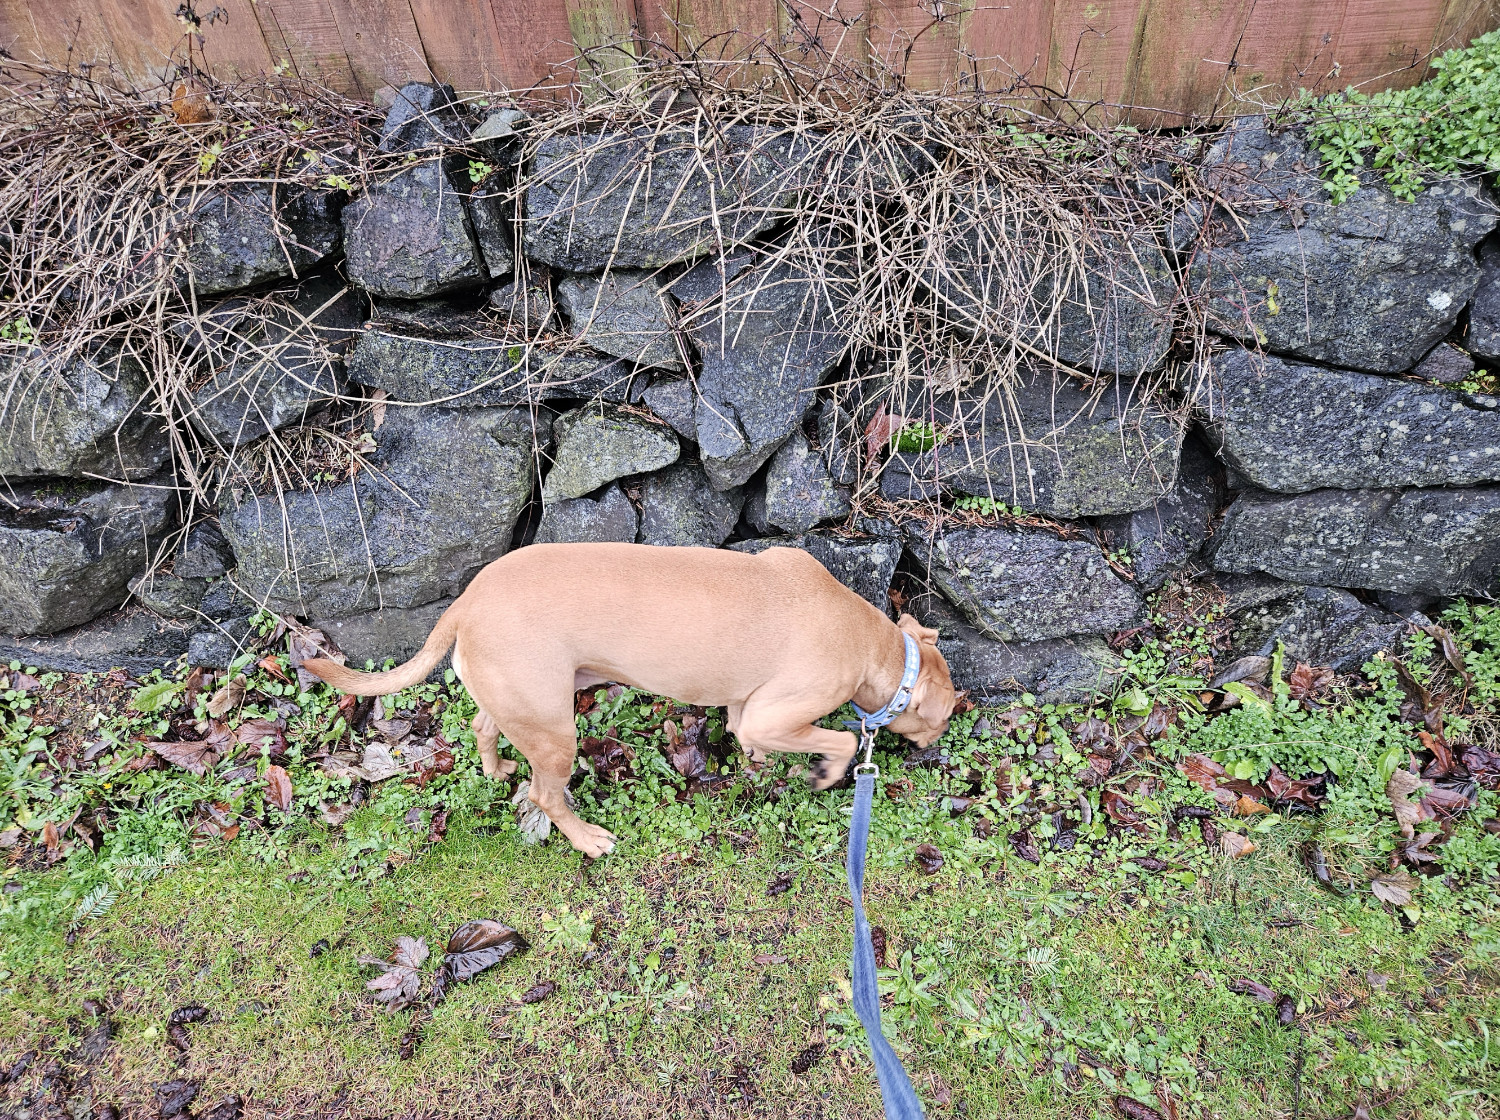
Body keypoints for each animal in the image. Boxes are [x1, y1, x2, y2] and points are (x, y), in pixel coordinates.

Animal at [303, 545, 954, 857]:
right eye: (945, 713)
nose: (939, 742)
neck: (873, 643)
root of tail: (466, 601)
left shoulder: (749, 712)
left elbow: (749, 738)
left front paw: (762, 766)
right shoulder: (783, 711)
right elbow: (840, 738)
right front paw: (826, 771)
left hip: (527, 699)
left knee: (488, 731)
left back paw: (498, 768)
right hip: (557, 733)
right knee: (546, 794)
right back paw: (585, 838)